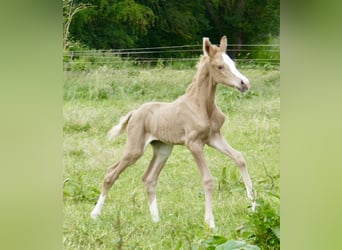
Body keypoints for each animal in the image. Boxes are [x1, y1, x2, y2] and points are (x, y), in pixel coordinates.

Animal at [89, 35, 255, 229]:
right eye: (220, 66)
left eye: (233, 63)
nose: (244, 83)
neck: (201, 105)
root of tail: (135, 112)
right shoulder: (193, 143)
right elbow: (208, 180)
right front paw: (210, 223)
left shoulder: (214, 138)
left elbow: (239, 158)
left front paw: (254, 204)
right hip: (135, 149)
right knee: (111, 173)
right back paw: (95, 214)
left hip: (163, 149)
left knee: (149, 178)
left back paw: (156, 220)